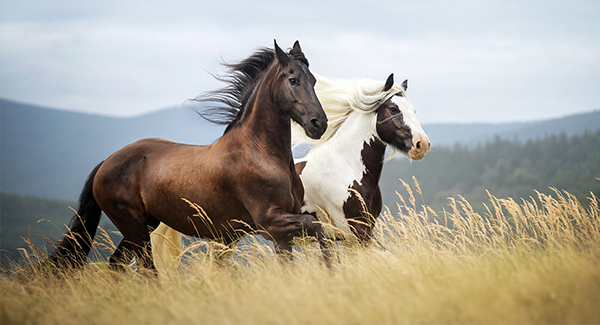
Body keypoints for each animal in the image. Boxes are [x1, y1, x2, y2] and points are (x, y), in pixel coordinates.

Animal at [47, 39, 330, 268]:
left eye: (314, 81)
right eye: (293, 80)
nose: (319, 124)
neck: (260, 152)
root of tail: (106, 162)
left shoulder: (282, 234)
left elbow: (315, 239)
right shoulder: (270, 222)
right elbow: (317, 227)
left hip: (143, 225)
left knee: (116, 266)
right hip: (134, 227)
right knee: (146, 270)